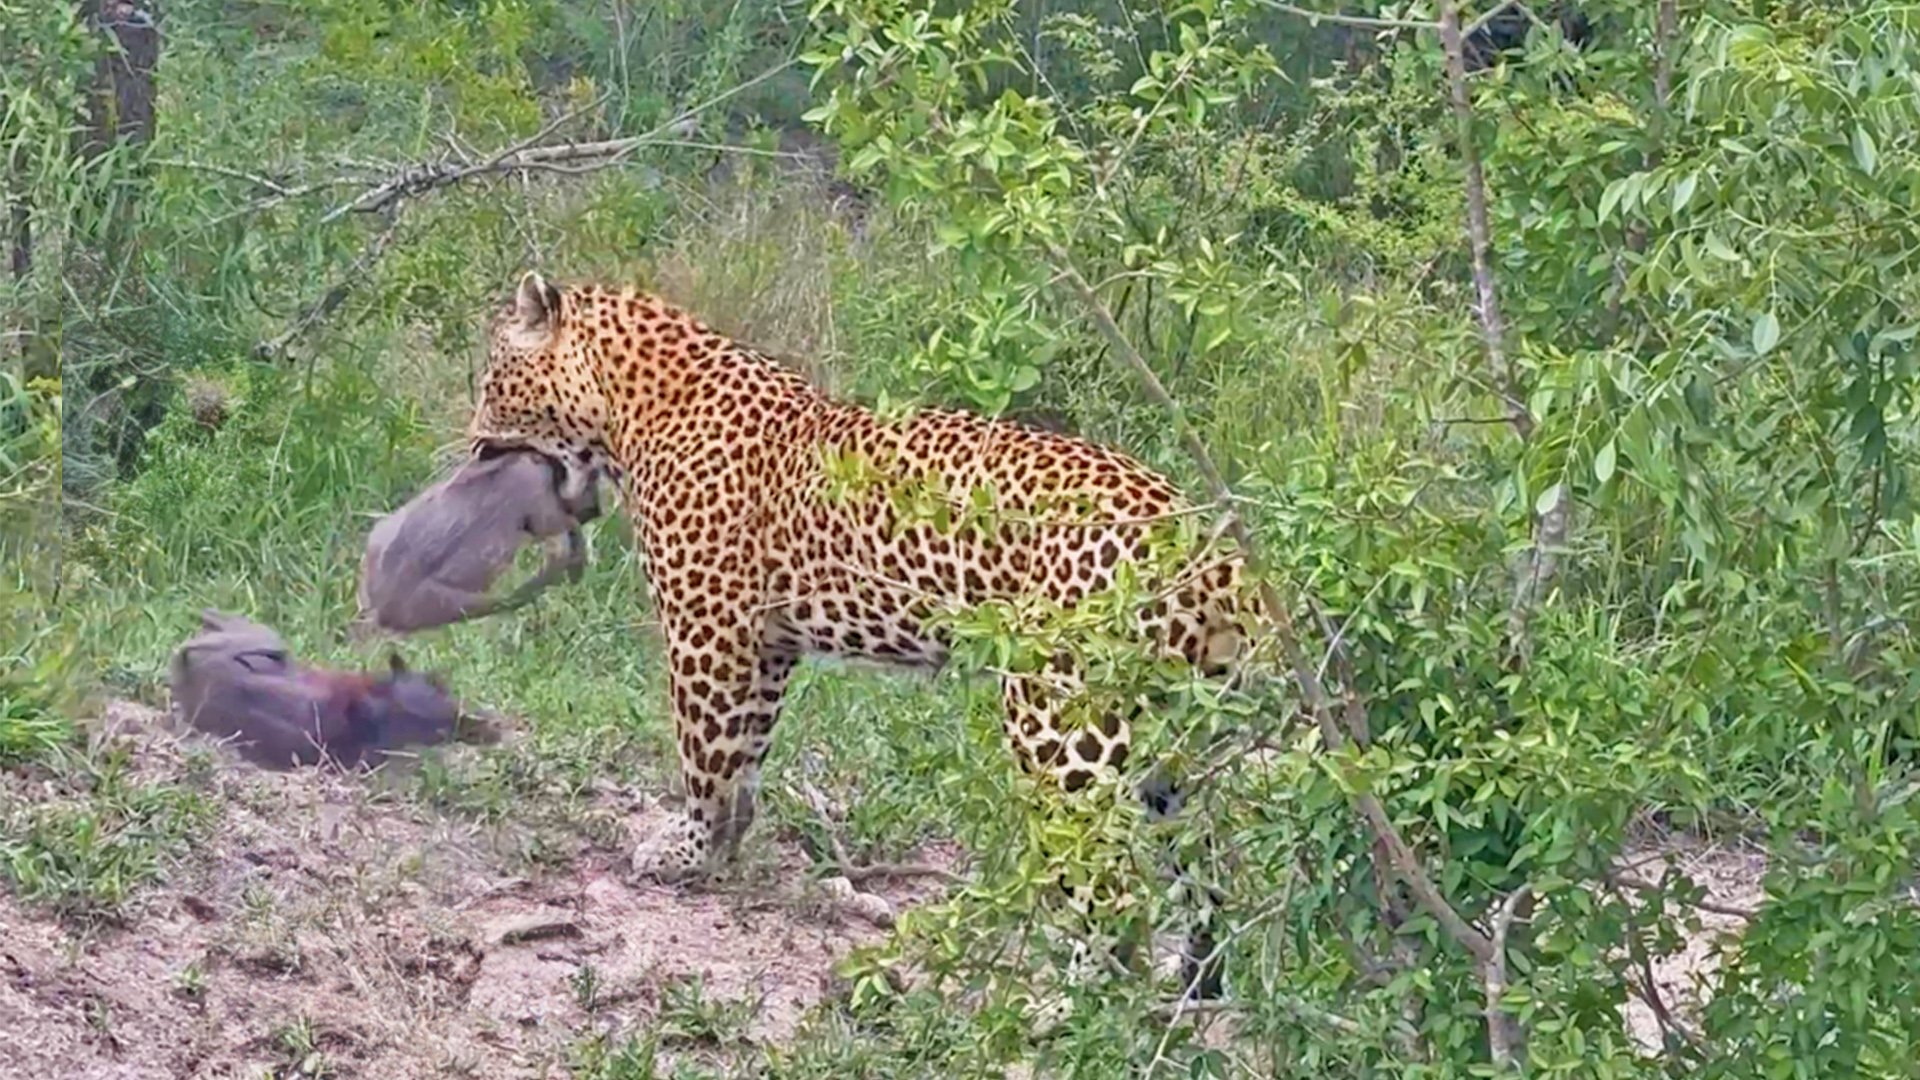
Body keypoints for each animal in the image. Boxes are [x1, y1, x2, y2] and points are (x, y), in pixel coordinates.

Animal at [456, 272, 1251, 999]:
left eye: (494, 379)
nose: (470, 447)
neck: (632, 411)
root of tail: (1205, 541)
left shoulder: (708, 631)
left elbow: (703, 755)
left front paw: (685, 852)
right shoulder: (768, 644)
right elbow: (744, 755)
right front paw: (723, 849)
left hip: (1064, 724)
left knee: (1110, 883)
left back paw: (1076, 1005)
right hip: (1180, 729)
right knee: (1209, 864)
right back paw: (1196, 982)